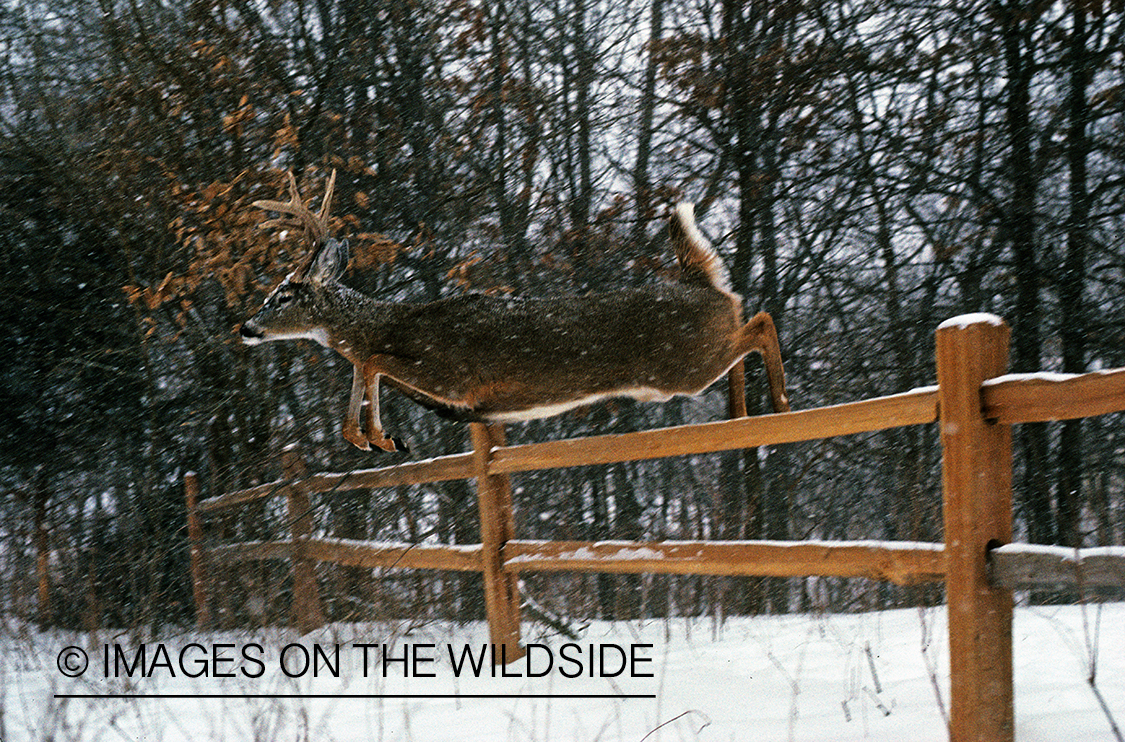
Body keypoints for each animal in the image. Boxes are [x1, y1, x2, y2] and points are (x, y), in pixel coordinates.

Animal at [241, 172, 787, 451]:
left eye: (283, 295)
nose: (246, 327)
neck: (397, 322)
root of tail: (703, 283)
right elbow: (362, 367)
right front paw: (371, 437)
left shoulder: (455, 374)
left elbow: (371, 360)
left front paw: (376, 435)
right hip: (691, 360)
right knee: (747, 331)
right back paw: (742, 417)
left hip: (681, 366)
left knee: (760, 323)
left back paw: (780, 405)